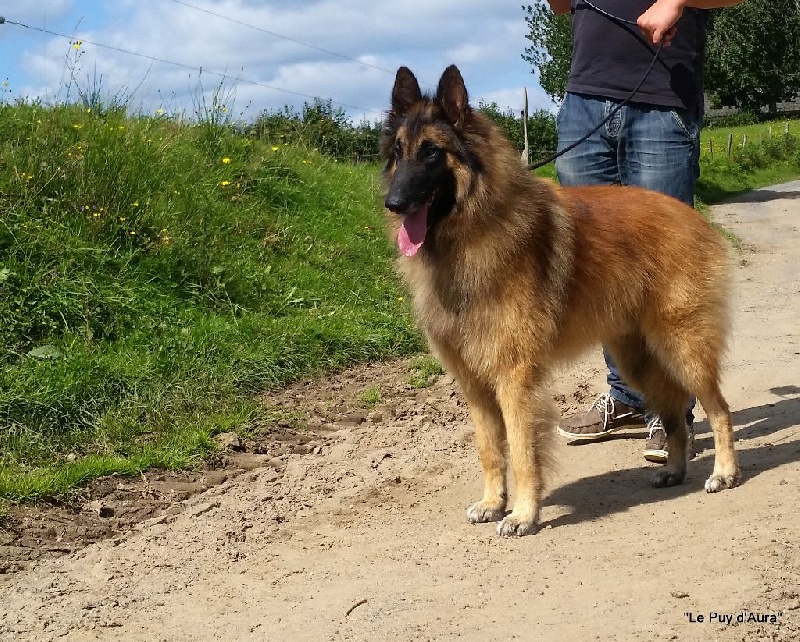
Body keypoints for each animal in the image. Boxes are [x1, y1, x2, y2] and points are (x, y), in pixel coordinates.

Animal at [378, 65, 740, 536]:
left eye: (433, 154)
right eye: (398, 152)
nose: (394, 203)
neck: (470, 232)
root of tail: (692, 216)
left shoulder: (514, 378)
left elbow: (521, 450)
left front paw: (523, 514)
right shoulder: (474, 384)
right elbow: (490, 449)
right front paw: (493, 503)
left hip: (683, 349)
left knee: (719, 409)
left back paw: (725, 472)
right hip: (637, 360)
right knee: (675, 415)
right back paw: (674, 470)